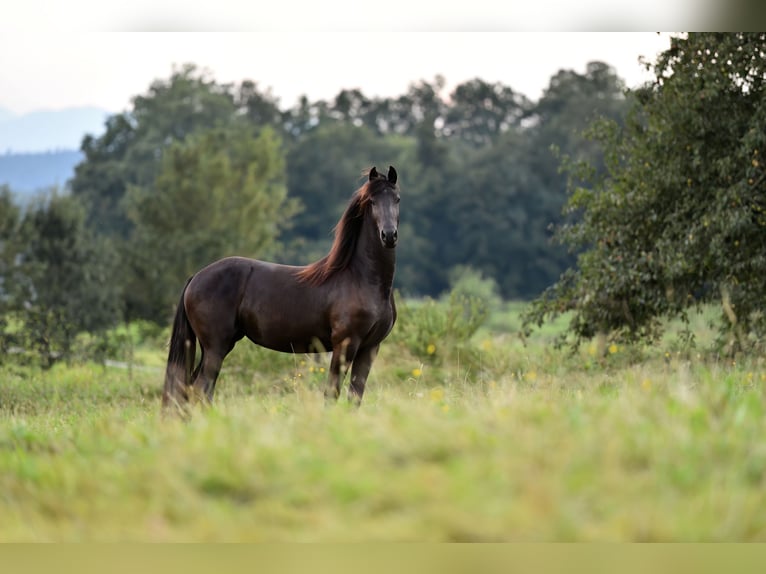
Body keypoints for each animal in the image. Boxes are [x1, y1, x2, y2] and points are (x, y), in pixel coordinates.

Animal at [163, 166, 402, 414]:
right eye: (372, 201)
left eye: (397, 199)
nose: (389, 235)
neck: (361, 279)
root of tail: (196, 277)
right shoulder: (345, 344)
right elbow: (331, 394)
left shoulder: (370, 348)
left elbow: (355, 396)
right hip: (216, 347)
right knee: (201, 389)